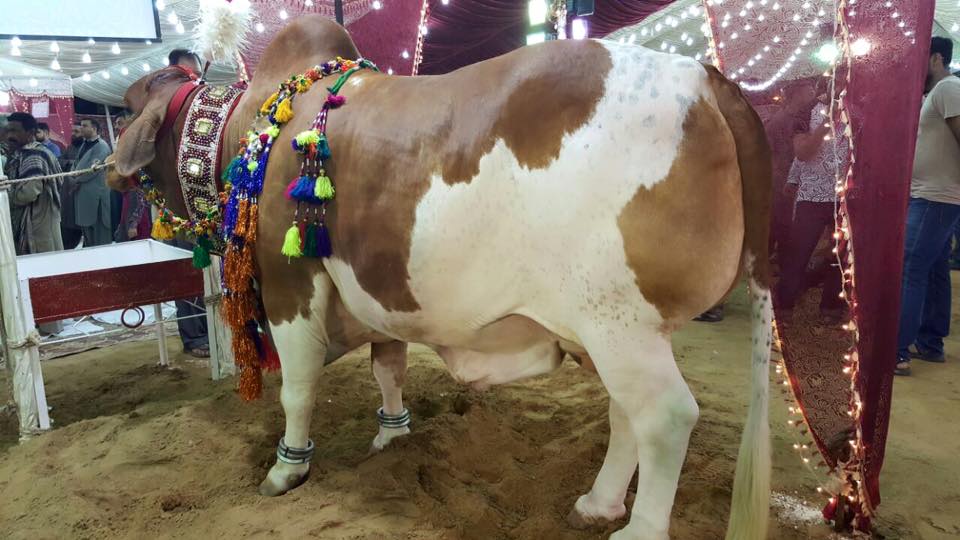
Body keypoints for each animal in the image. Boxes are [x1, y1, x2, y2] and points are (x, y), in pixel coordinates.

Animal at [112, 15, 773, 540]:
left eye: (129, 105)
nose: (115, 176)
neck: (251, 129)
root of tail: (703, 76)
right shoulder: (377, 291)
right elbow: (389, 368)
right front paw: (392, 437)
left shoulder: (289, 280)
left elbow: (297, 387)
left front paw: (286, 467)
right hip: (617, 328)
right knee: (624, 413)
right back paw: (596, 503)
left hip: (619, 321)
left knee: (666, 416)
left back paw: (636, 528)